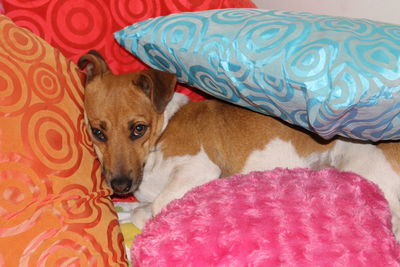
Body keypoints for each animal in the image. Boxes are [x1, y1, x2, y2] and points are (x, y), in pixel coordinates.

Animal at [78, 50, 400, 241]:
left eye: (138, 129)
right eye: (97, 132)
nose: (120, 185)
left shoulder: (199, 168)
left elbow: (154, 206)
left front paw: (138, 215)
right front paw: (123, 209)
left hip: (361, 166)